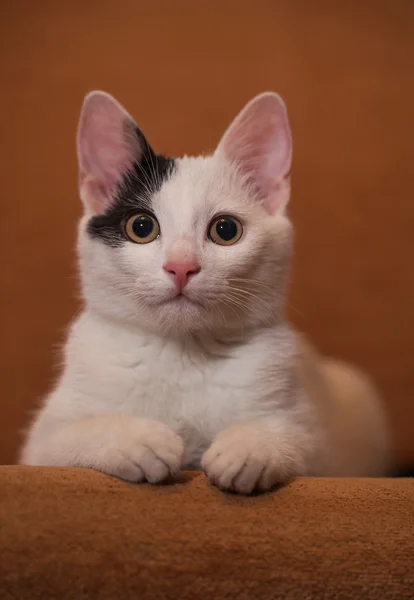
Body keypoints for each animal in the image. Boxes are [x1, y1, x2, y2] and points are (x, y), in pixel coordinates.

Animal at [19, 90, 390, 492]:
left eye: (225, 230)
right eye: (141, 227)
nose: (181, 266)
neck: (183, 354)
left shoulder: (319, 442)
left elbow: (299, 438)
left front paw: (250, 447)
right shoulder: (40, 444)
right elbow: (71, 435)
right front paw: (139, 441)